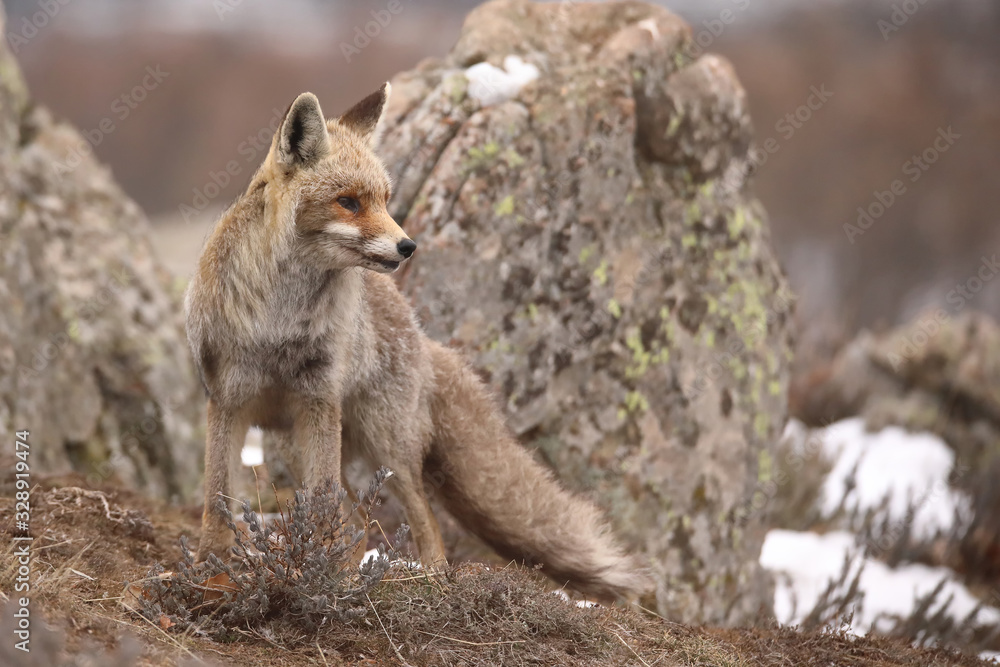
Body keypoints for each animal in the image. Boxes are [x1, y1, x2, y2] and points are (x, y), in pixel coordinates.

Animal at [184, 83, 651, 601]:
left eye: (386, 200)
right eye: (348, 202)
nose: (408, 246)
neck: (279, 320)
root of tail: (420, 333)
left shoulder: (318, 398)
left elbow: (323, 506)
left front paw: (313, 576)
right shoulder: (227, 401)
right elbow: (217, 501)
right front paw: (209, 573)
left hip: (387, 444)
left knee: (420, 521)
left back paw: (424, 578)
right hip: (292, 444)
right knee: (355, 521)